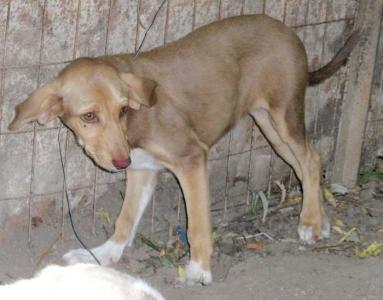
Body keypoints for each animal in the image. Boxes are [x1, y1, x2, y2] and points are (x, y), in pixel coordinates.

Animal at [9, 15, 360, 284]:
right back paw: (320, 220)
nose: (120, 161)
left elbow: (198, 225)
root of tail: (288, 30)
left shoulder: (191, 159)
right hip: (270, 128)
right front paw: (105, 253)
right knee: (308, 162)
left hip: (284, 115)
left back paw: (310, 221)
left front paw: (199, 269)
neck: (135, 122)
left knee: (310, 160)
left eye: (122, 110)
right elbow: (125, 219)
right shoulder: (140, 170)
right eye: (89, 116)